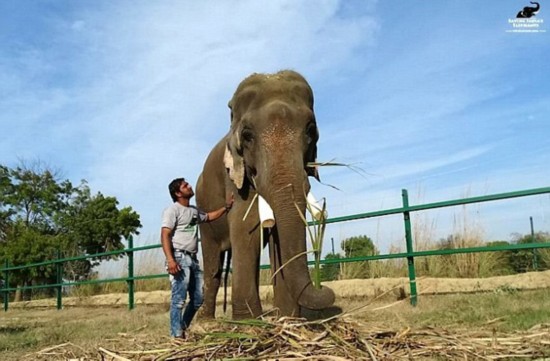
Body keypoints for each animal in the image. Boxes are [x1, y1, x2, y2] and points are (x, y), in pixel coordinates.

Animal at [198, 69, 336, 318]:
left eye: (310, 130)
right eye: (247, 136)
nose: (325, 289)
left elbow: (276, 236)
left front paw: (287, 318)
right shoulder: (235, 178)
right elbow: (247, 227)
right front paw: (249, 322)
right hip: (203, 214)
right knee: (213, 266)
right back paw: (205, 320)